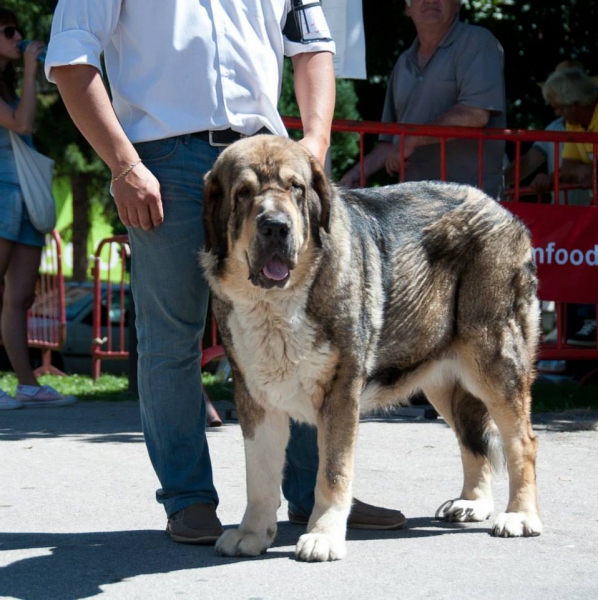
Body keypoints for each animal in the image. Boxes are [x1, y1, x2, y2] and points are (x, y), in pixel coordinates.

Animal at [200, 135, 544, 564]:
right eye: (243, 193)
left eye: (296, 188)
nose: (276, 227)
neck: (275, 304)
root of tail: (502, 211)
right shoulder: (254, 397)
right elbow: (259, 475)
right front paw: (251, 534)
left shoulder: (340, 394)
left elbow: (332, 473)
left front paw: (323, 537)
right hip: (442, 378)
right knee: (471, 438)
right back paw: (473, 504)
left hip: (494, 361)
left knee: (522, 441)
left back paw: (521, 516)